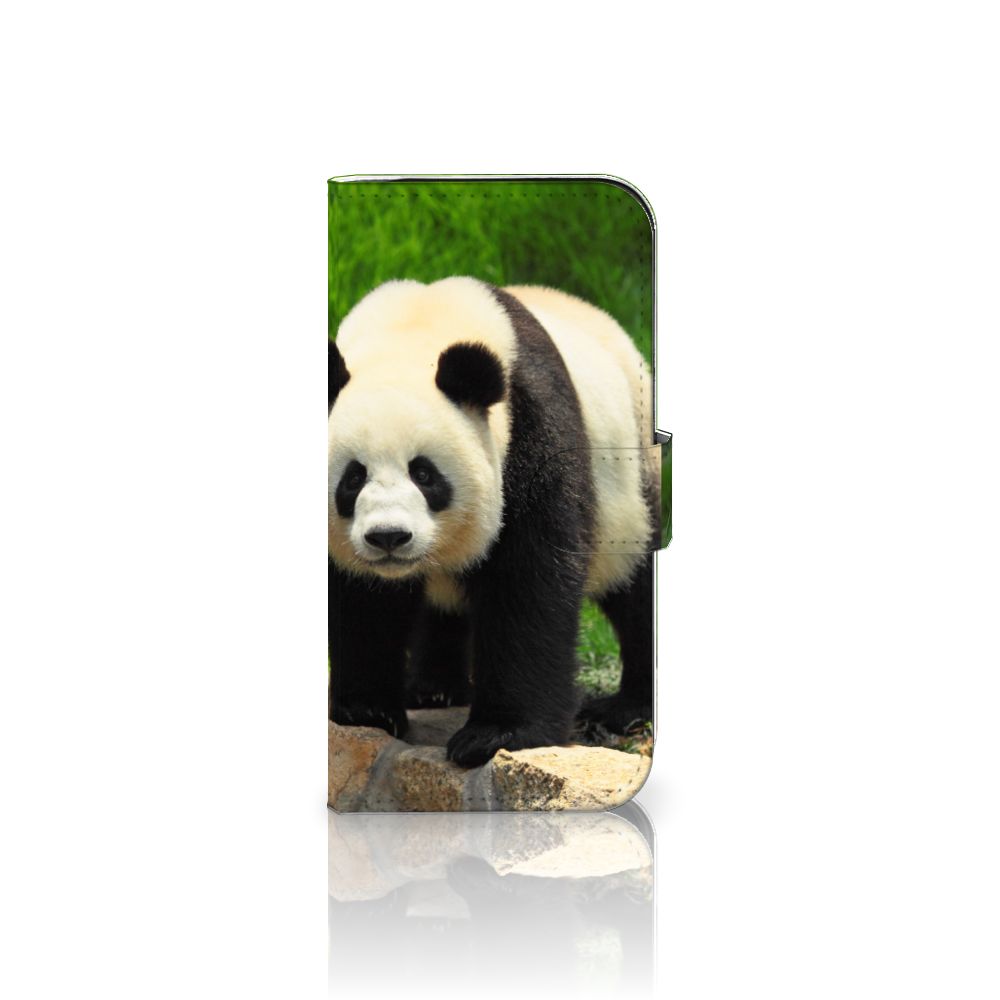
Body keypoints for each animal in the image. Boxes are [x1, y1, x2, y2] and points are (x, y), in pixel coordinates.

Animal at [328, 277, 658, 768]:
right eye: (353, 478)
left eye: (424, 474)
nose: (389, 537)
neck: (413, 331)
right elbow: (362, 600)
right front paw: (366, 710)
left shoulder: (531, 428)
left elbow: (529, 581)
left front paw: (497, 735)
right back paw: (434, 688)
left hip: (631, 478)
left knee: (634, 585)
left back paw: (628, 707)